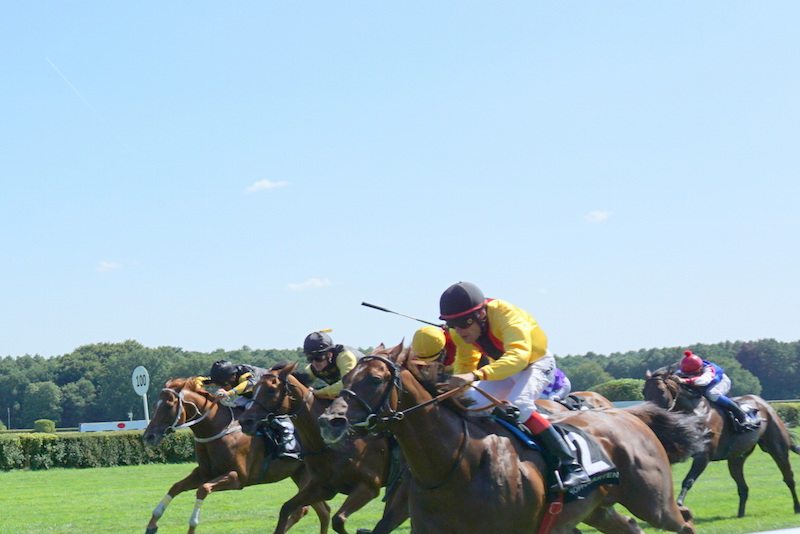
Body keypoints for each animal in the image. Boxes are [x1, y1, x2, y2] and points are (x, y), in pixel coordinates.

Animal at [142, 378, 330, 534]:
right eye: (154, 406)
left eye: (168, 405)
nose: (148, 436)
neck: (217, 429)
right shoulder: (203, 473)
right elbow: (175, 487)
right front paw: (152, 525)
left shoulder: (238, 477)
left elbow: (203, 489)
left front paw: (192, 526)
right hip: (302, 476)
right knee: (322, 511)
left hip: (310, 478)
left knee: (308, 510)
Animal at [239, 366, 410, 534]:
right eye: (254, 388)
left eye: (271, 390)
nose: (245, 421)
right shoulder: (322, 487)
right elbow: (286, 508)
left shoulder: (368, 487)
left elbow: (338, 520)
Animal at [320, 346, 700, 532]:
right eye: (346, 378)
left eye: (374, 379)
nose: (329, 421)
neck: (454, 464)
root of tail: (628, 415)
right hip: (598, 510)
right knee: (632, 527)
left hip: (653, 502)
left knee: (683, 521)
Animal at [644, 368, 800, 520]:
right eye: (645, 391)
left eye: (661, 391)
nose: (649, 414)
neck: (694, 412)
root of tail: (765, 405)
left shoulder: (703, 456)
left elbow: (688, 480)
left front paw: (679, 504)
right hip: (736, 458)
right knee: (743, 487)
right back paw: (740, 514)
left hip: (777, 449)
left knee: (789, 478)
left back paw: (796, 507)